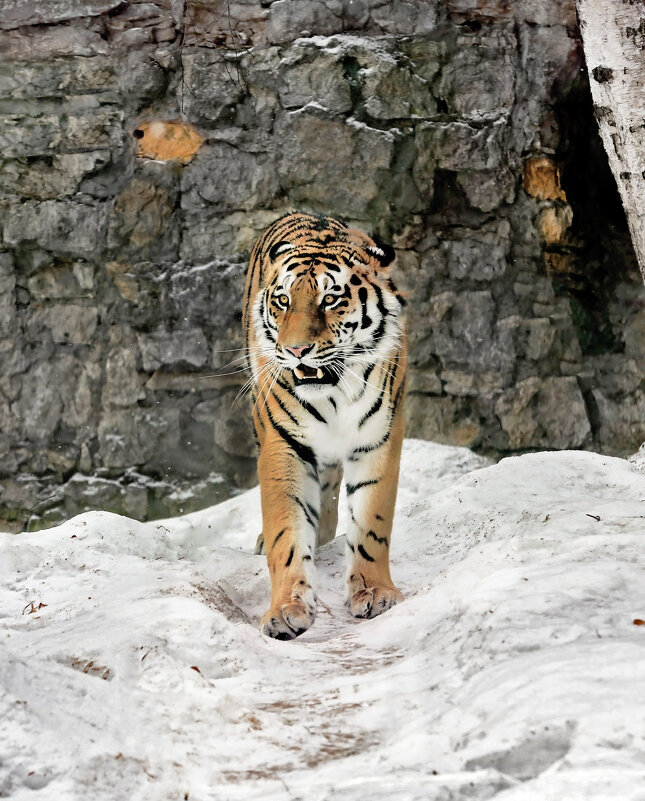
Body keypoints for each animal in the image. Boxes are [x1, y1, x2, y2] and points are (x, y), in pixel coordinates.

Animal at [242, 211, 408, 636]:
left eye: (330, 299)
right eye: (283, 301)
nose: (296, 349)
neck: (332, 395)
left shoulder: (377, 439)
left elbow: (371, 522)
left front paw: (375, 593)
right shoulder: (284, 444)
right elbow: (286, 531)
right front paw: (286, 610)